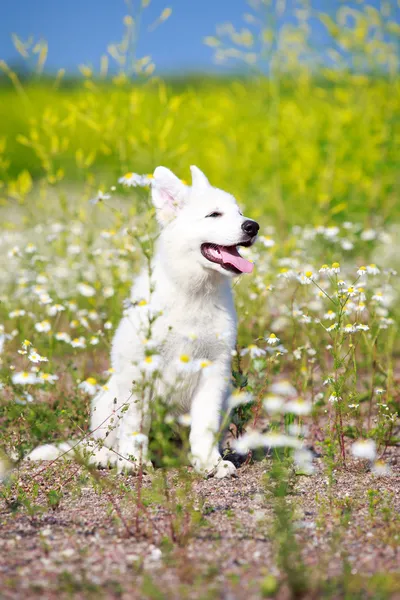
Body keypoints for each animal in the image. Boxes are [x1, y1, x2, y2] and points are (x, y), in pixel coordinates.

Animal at [28, 166, 260, 480]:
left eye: (239, 212)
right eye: (214, 214)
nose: (253, 227)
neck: (193, 293)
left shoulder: (214, 371)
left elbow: (205, 425)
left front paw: (209, 463)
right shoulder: (141, 370)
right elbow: (136, 424)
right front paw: (133, 462)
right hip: (106, 400)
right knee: (100, 442)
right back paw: (107, 457)